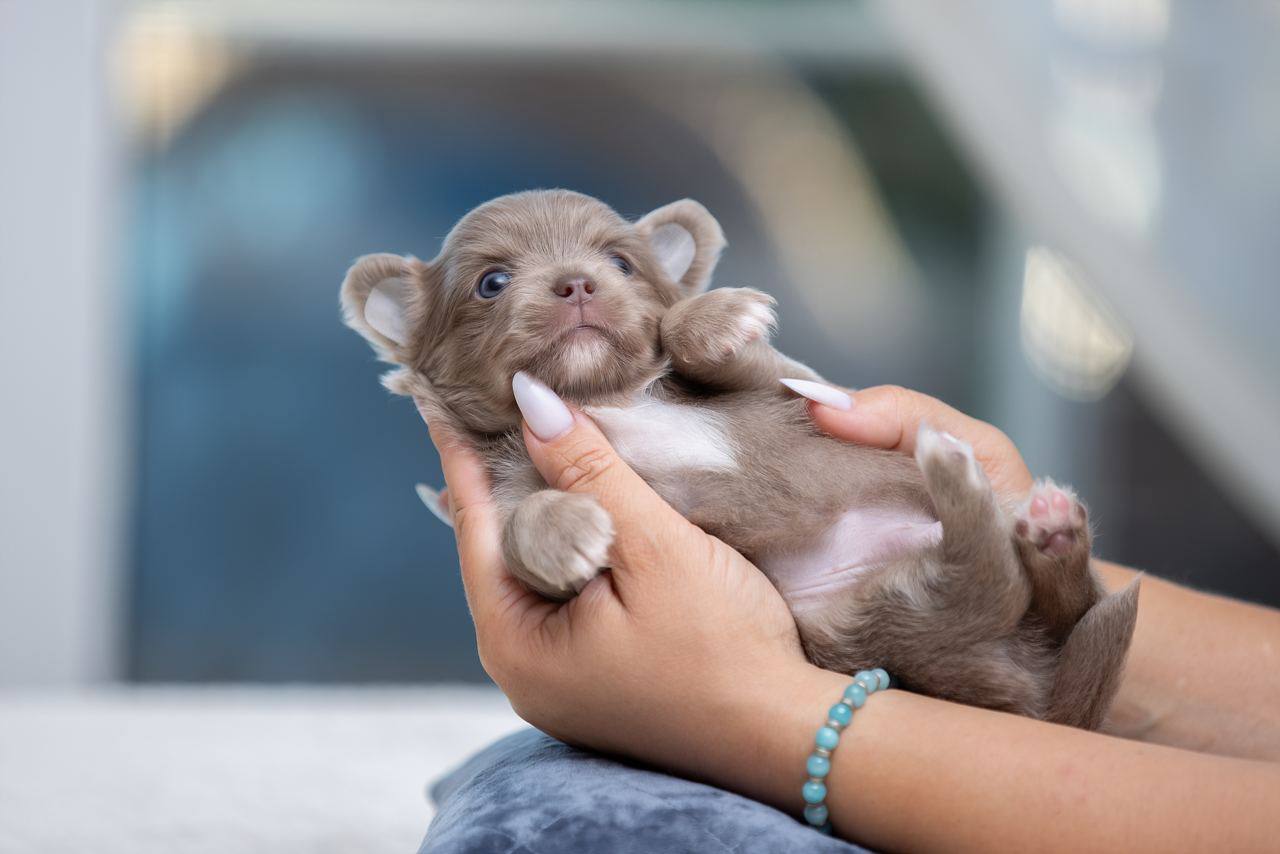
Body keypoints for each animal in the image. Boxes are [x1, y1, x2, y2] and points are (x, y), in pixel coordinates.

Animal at [343, 190, 1141, 732]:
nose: (576, 281)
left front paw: (714, 316)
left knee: (1051, 594)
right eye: (492, 283)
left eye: (620, 262)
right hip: (880, 620)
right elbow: (524, 522)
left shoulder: (787, 381)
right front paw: (563, 535)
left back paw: (1029, 518)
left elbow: (724, 351)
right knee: (993, 582)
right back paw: (1010, 510)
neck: (607, 398)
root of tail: (1025, 687)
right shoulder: (509, 479)